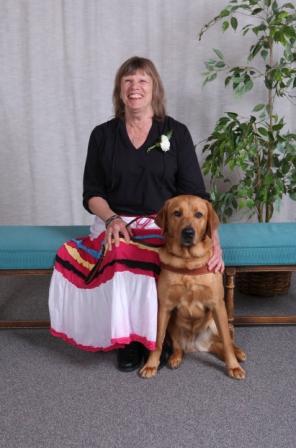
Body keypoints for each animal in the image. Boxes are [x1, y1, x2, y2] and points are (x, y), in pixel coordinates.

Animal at [140, 194, 246, 380]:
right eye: (177, 213)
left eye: (199, 215)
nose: (188, 232)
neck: (187, 261)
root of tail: (196, 345)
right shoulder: (165, 307)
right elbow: (158, 340)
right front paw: (151, 364)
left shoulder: (217, 305)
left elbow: (226, 342)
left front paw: (233, 366)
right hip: (173, 325)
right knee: (179, 346)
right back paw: (175, 358)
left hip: (217, 322)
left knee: (224, 341)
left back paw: (238, 353)